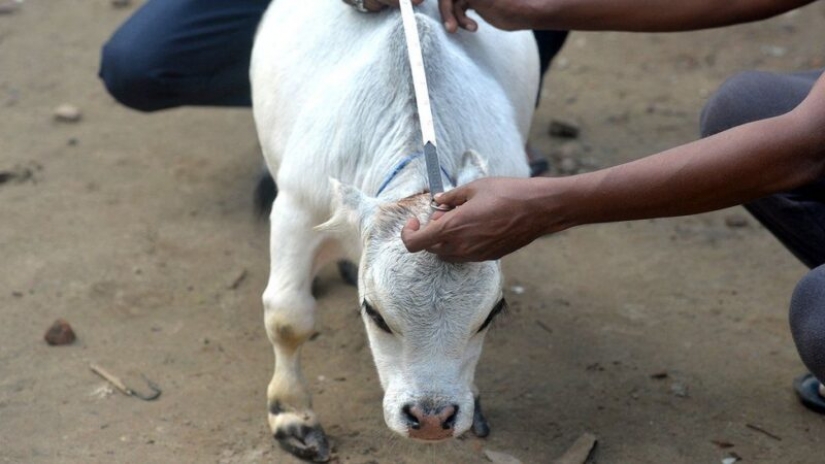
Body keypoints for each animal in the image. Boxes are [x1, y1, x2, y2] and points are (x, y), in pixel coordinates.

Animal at [250, 1, 539, 461]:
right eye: (374, 314)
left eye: (492, 314)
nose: (432, 418)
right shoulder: (297, 211)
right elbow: (288, 318)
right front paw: (292, 414)